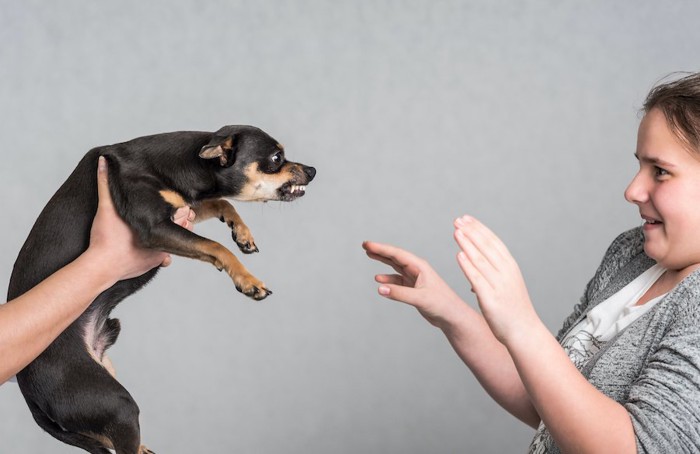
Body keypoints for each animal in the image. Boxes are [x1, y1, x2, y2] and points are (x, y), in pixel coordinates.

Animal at [5, 126, 316, 454]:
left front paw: (242, 233)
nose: (312, 170)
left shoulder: (182, 209)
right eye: (276, 158)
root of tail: (29, 397)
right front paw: (248, 280)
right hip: (118, 404)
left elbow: (222, 205)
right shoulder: (155, 227)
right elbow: (215, 245)